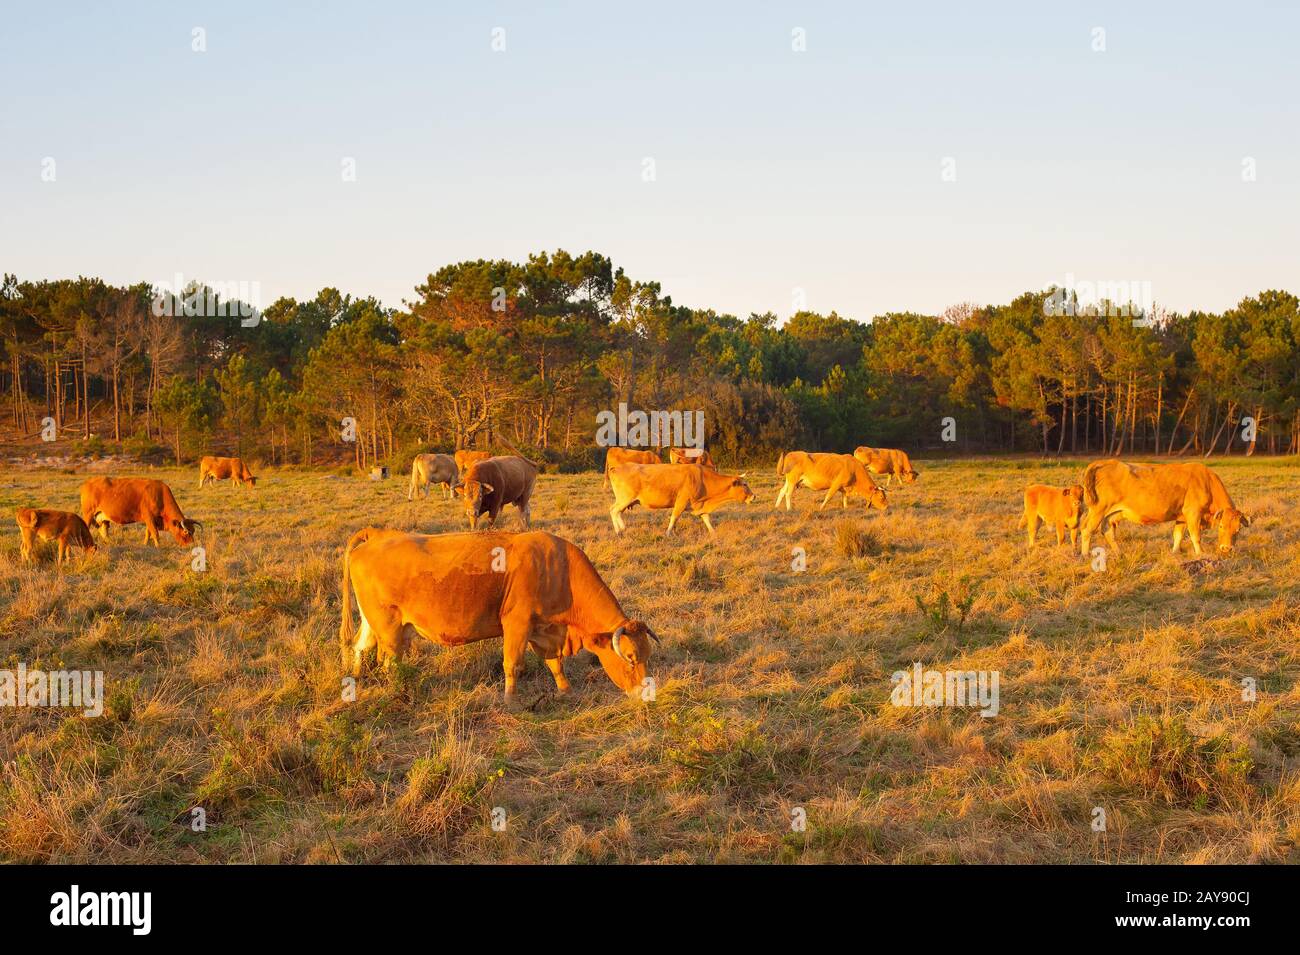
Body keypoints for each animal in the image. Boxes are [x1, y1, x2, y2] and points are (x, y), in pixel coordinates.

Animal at [340, 522, 660, 701]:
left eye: (647, 656)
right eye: (631, 658)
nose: (646, 694)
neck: (559, 569)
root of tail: (379, 535)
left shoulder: (546, 631)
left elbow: (555, 664)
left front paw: (566, 690)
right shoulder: (517, 625)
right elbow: (512, 664)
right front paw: (510, 701)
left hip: (372, 623)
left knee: (359, 647)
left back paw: (355, 682)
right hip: (390, 630)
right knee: (388, 663)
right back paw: (399, 694)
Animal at [605, 462, 759, 535]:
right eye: (745, 484)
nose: (754, 496)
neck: (703, 479)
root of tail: (616, 468)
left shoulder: (700, 505)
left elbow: (706, 519)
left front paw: (713, 533)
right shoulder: (682, 501)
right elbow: (674, 517)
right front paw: (668, 533)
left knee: (617, 512)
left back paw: (621, 528)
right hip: (625, 499)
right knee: (613, 510)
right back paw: (619, 530)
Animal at [1076, 459, 1248, 556]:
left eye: (1238, 529)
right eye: (1221, 526)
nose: (1226, 549)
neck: (1206, 482)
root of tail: (1105, 462)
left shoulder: (1182, 517)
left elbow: (1178, 535)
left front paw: (1174, 552)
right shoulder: (1193, 513)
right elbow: (1195, 536)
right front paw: (1200, 553)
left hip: (1112, 513)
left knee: (1108, 531)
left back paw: (1119, 553)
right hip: (1098, 510)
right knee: (1087, 529)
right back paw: (1085, 555)